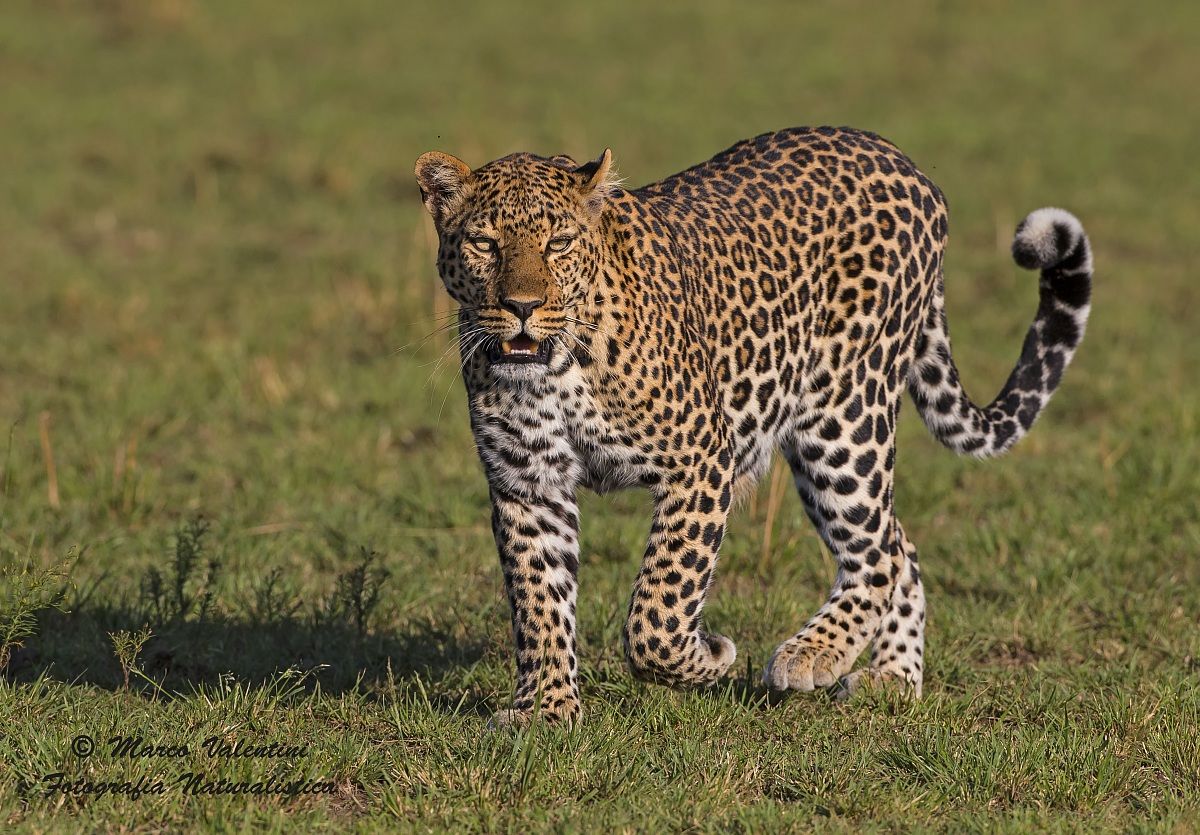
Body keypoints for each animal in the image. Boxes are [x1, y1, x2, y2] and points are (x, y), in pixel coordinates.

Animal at [414, 126, 1092, 725]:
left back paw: (813, 653)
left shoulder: (699, 461)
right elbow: (539, 603)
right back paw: (893, 677)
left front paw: (707, 657)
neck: (558, 367)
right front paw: (548, 710)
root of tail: (906, 164)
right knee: (900, 541)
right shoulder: (527, 485)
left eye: (558, 243)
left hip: (843, 415)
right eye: (484, 243)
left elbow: (658, 608)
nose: (522, 307)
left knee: (878, 552)